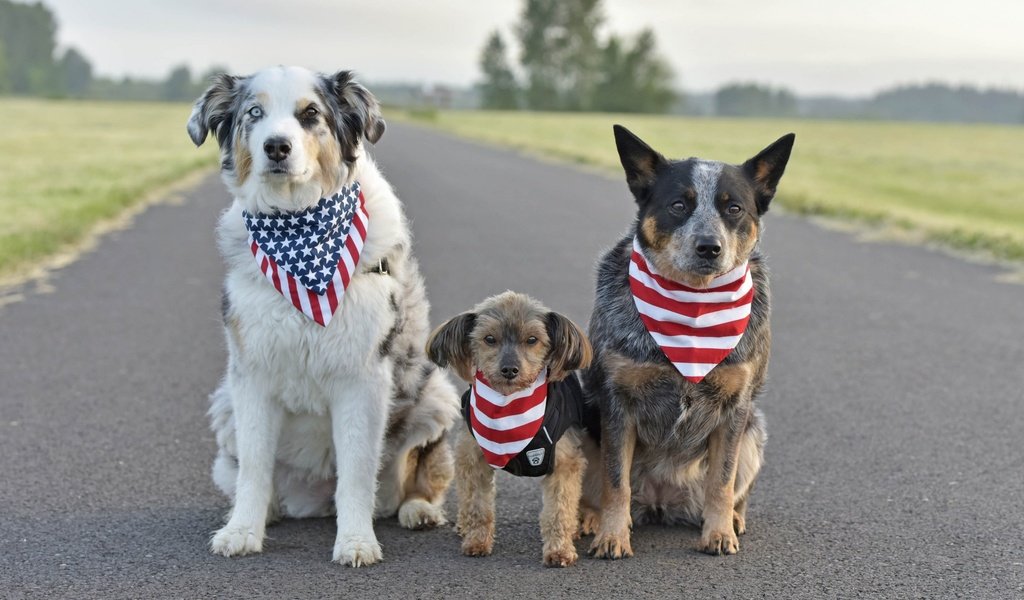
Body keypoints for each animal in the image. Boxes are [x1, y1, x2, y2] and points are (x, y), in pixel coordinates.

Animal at [187, 66, 456, 565]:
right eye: (254, 113)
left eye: (310, 114)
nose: (277, 147)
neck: (299, 222)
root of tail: (314, 495)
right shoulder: (252, 374)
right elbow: (254, 467)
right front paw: (242, 531)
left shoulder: (362, 377)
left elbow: (357, 469)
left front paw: (355, 541)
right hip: (224, 405)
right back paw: (270, 511)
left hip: (435, 394)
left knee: (414, 474)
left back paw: (418, 510)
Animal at [425, 288, 598, 565]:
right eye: (489, 339)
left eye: (532, 339)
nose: (509, 369)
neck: (508, 406)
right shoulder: (472, 457)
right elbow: (477, 505)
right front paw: (476, 541)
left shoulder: (564, 461)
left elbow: (559, 511)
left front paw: (559, 549)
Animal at [585, 122, 790, 556]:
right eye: (679, 205)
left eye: (734, 208)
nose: (709, 247)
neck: (693, 306)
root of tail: (662, 502)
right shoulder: (617, 402)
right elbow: (615, 481)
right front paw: (612, 535)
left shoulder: (735, 409)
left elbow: (722, 481)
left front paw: (719, 533)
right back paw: (591, 520)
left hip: (754, 430)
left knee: (734, 488)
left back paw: (734, 519)